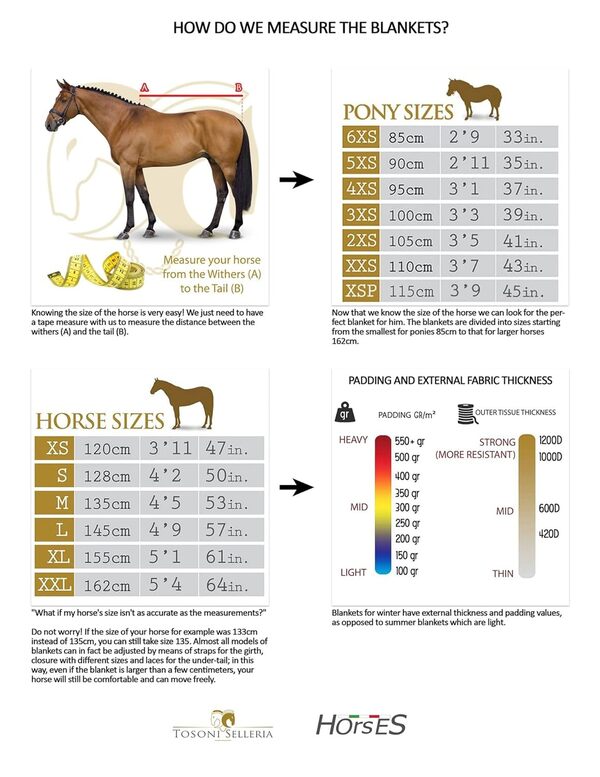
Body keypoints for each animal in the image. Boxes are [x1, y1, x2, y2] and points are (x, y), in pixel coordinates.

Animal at [45, 80, 252, 240]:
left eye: (63, 99)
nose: (49, 124)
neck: (123, 121)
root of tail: (235, 120)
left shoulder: (127, 167)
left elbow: (130, 197)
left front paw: (125, 230)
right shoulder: (137, 168)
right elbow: (144, 195)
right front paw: (150, 228)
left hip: (227, 165)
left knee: (236, 193)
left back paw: (235, 229)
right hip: (214, 163)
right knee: (222, 193)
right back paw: (208, 229)